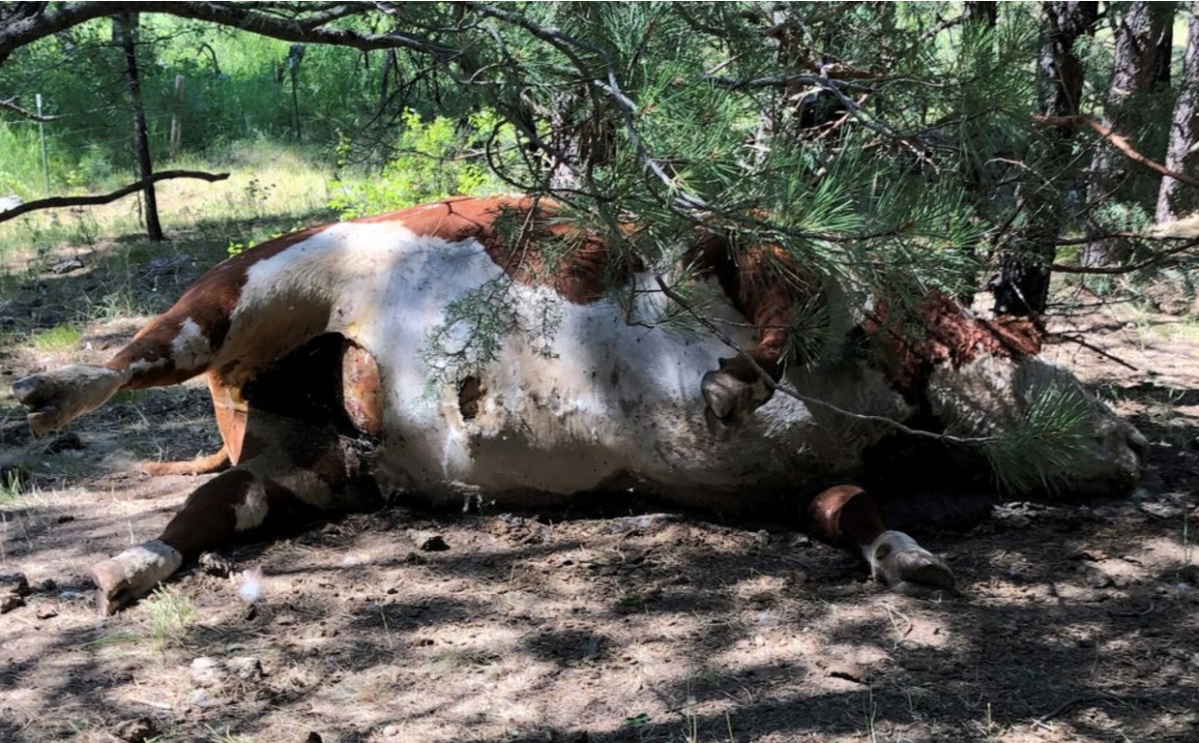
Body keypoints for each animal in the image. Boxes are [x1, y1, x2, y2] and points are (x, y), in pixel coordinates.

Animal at [11, 196, 1146, 613]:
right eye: (1038, 357)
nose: (1131, 444)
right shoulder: (752, 246)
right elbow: (770, 323)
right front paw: (730, 382)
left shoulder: (786, 487)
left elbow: (851, 512)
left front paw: (910, 556)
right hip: (250, 288)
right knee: (143, 354)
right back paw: (48, 389)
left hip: (312, 466)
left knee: (213, 507)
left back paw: (125, 567)